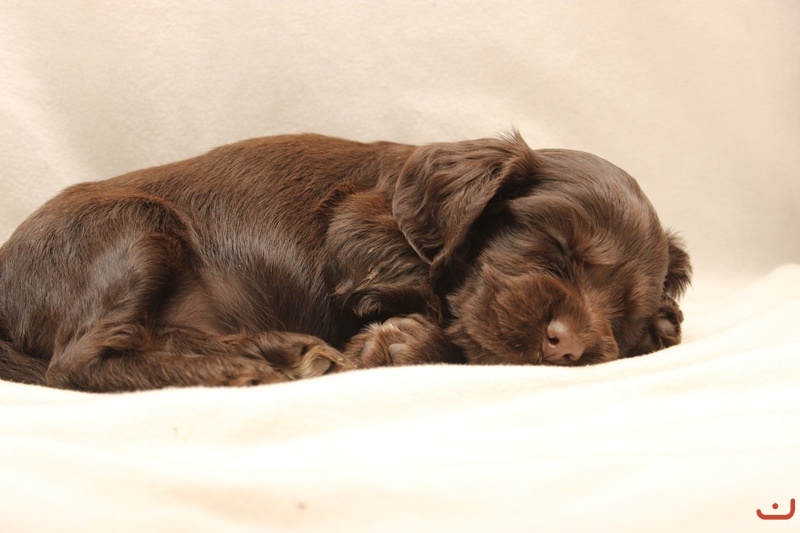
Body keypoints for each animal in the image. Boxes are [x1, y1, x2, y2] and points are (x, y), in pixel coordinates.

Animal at [0, 132, 691, 391]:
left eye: (622, 315)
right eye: (555, 249)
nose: (568, 345)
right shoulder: (356, 229)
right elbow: (442, 307)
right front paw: (406, 339)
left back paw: (280, 351)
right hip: (135, 229)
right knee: (80, 359)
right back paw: (244, 368)